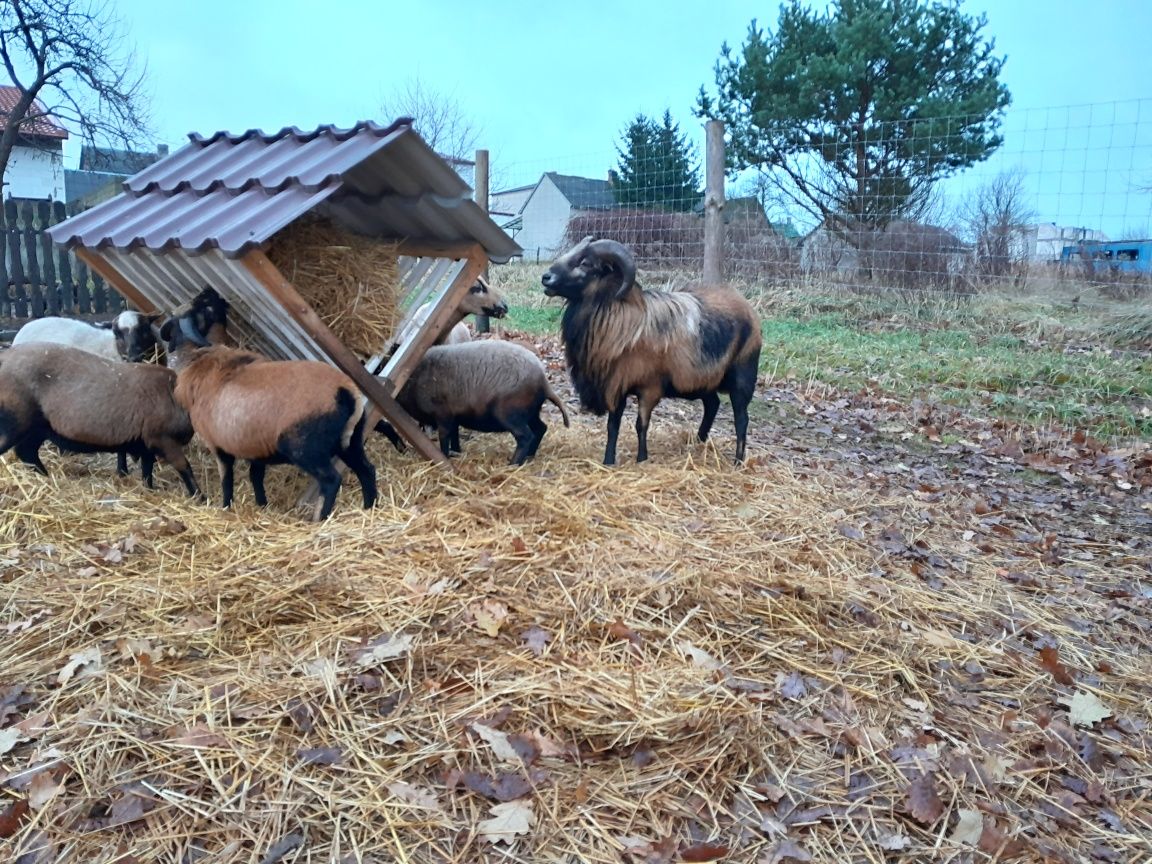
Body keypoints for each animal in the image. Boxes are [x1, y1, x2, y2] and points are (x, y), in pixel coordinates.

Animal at [0, 343, 200, 497]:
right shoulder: (163, 438)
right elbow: (184, 466)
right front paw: (199, 496)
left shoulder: (147, 442)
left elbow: (147, 470)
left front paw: (149, 489)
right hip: (16, 421)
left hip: (38, 427)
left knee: (27, 452)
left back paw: (44, 476)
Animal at [160, 317, 377, 520]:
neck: (199, 363)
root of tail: (345, 391)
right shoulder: (256, 447)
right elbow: (255, 477)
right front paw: (261, 505)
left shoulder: (218, 446)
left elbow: (227, 480)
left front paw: (226, 507)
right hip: (350, 441)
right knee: (367, 470)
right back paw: (370, 508)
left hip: (304, 448)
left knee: (331, 480)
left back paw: (319, 520)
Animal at [396, 340, 571, 467]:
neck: (416, 378)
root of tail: (544, 382)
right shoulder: (454, 415)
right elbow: (455, 434)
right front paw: (456, 452)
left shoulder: (443, 413)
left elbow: (444, 436)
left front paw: (444, 456)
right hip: (531, 411)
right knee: (541, 428)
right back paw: (529, 456)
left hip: (510, 412)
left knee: (526, 436)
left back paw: (512, 464)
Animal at [541, 235, 760, 467]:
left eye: (585, 263)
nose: (546, 278)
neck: (621, 320)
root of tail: (746, 305)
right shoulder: (615, 385)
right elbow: (613, 425)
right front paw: (608, 461)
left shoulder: (650, 388)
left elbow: (641, 425)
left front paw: (641, 459)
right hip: (703, 381)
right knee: (712, 405)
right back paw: (698, 443)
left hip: (743, 376)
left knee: (741, 419)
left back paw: (738, 461)